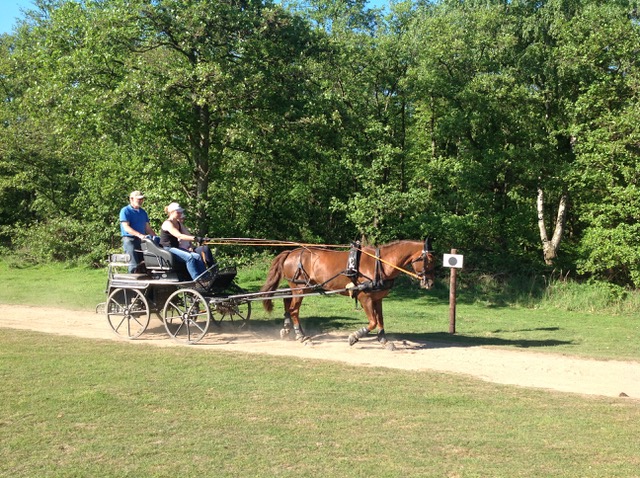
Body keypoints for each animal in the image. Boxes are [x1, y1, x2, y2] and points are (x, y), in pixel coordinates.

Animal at [260, 241, 436, 350]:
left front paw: (384, 341)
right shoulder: (365, 297)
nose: (430, 283)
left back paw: (286, 329)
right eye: (428, 260)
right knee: (294, 310)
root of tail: (291, 252)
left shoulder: (377, 298)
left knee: (287, 301)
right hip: (300, 288)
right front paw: (354, 337)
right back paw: (302, 336)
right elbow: (372, 322)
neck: (380, 263)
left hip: (302, 288)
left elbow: (380, 320)